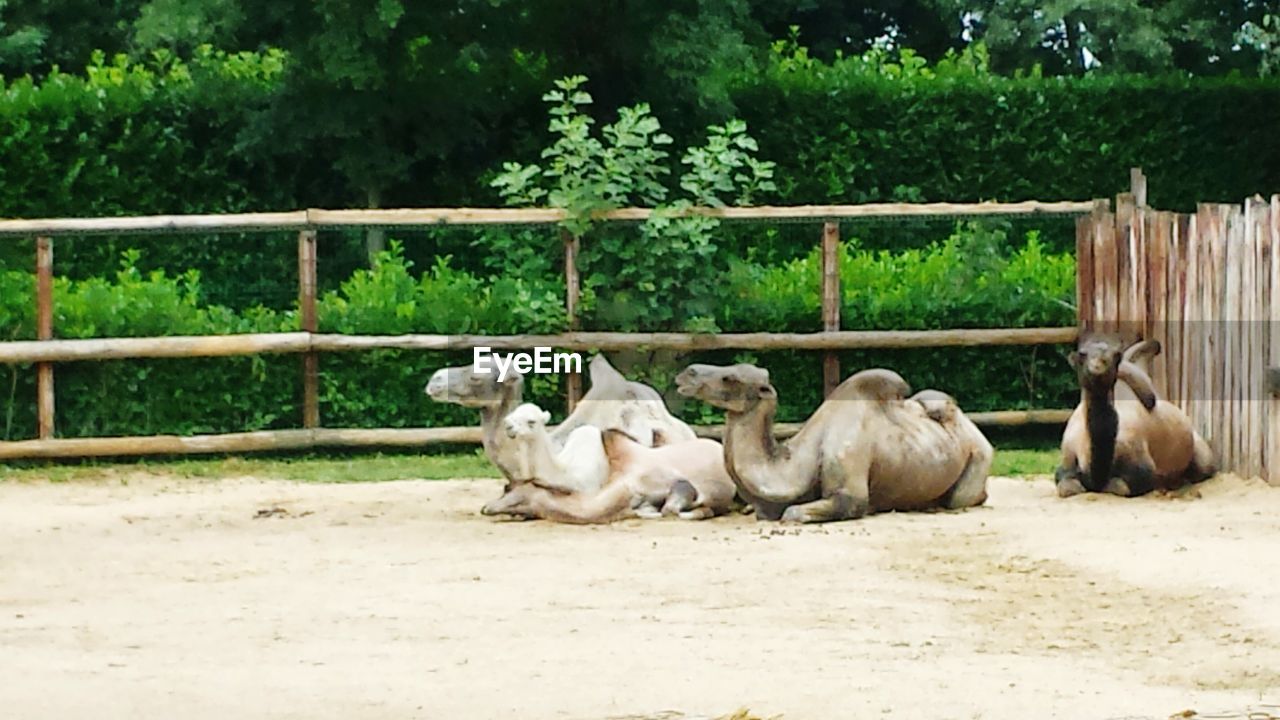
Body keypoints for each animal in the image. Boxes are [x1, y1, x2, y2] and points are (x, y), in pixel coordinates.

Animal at [675, 361, 993, 517]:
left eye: (730, 378)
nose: (686, 373)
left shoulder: (848, 482)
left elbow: (795, 513)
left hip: (980, 455)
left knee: (963, 497)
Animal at [1054, 333, 1213, 497]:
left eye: (1114, 355)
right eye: (1082, 354)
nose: (1098, 365)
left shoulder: (1143, 469)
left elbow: (1120, 486)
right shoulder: (1067, 459)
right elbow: (1067, 487)